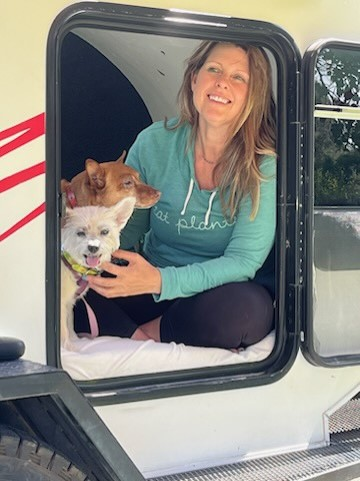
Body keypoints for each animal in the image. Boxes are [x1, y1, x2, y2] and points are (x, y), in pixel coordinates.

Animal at [61, 197, 136, 346]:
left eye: (105, 232)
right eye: (80, 233)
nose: (93, 247)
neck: (75, 267)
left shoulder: (69, 303)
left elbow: (69, 324)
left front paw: (75, 340)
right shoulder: (60, 303)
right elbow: (63, 330)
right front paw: (68, 347)